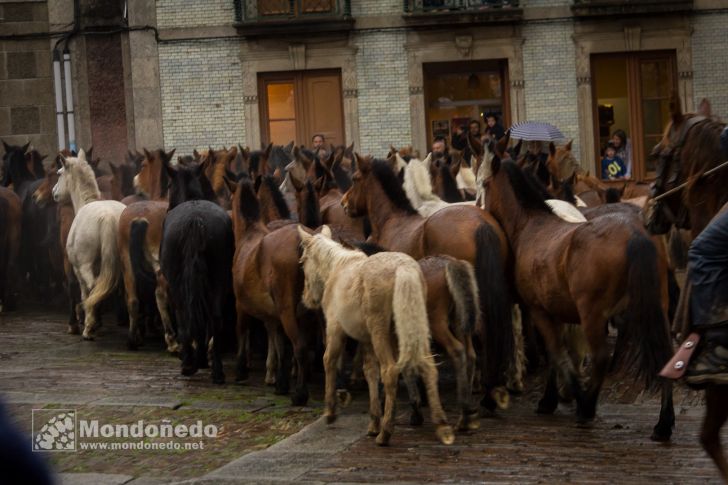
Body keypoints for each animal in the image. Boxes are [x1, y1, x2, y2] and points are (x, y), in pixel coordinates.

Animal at [52, 149, 126, 338]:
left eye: (59, 173)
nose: (54, 192)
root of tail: (108, 217)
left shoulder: (78, 269)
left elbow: (85, 293)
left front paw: (90, 322)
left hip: (85, 266)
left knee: (93, 287)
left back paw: (88, 328)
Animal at [159, 159, 233, 382]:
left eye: (168, 185)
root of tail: (196, 220)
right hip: (219, 278)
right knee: (215, 317)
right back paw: (217, 370)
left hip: (177, 284)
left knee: (184, 315)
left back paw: (188, 363)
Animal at [298, 225, 456, 444]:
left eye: (303, 261)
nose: (306, 298)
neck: (337, 269)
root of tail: (403, 270)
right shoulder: (366, 340)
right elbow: (370, 372)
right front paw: (373, 422)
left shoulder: (335, 329)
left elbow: (329, 360)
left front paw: (330, 412)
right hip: (414, 327)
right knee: (428, 367)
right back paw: (441, 425)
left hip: (380, 330)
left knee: (389, 370)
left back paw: (386, 432)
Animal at [484, 138, 676, 440]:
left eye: (484, 184)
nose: (478, 206)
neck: (531, 225)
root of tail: (634, 233)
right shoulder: (556, 312)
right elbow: (558, 355)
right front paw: (553, 398)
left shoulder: (540, 312)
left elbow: (557, 353)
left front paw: (572, 397)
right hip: (655, 308)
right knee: (665, 356)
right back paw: (664, 422)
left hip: (592, 314)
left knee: (600, 357)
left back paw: (587, 407)